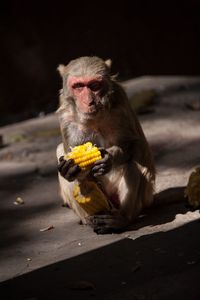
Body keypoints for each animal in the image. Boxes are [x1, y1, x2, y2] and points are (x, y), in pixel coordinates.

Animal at [55, 56, 155, 234]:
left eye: (94, 85)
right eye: (78, 86)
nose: (89, 102)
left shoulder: (120, 103)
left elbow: (133, 144)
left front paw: (108, 159)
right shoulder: (66, 117)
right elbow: (70, 155)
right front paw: (70, 170)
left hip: (141, 197)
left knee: (133, 163)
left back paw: (122, 219)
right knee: (59, 149)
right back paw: (88, 219)